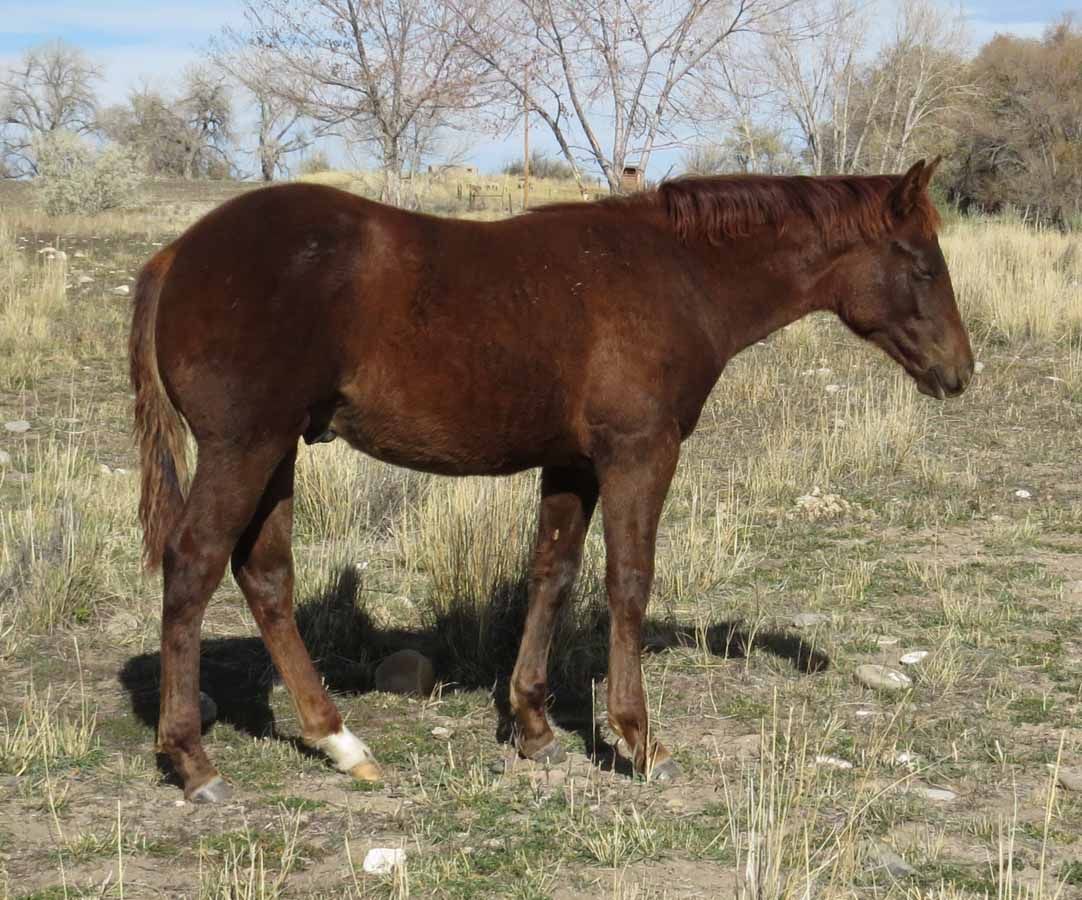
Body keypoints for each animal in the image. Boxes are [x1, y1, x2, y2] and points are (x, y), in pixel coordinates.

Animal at [130, 158, 973, 802]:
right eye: (923, 263)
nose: (960, 373)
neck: (679, 275)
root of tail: (177, 255)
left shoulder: (571, 463)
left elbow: (553, 575)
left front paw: (534, 727)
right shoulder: (639, 452)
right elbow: (628, 581)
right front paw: (638, 740)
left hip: (278, 453)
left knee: (265, 576)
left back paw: (340, 742)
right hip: (244, 447)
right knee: (194, 565)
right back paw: (194, 762)